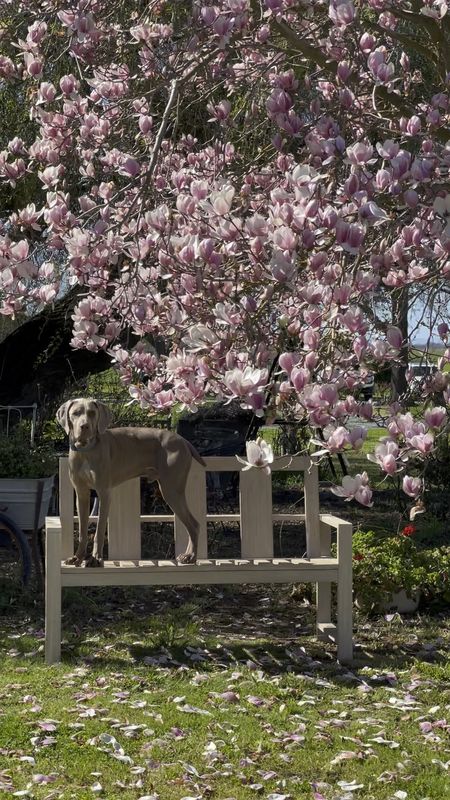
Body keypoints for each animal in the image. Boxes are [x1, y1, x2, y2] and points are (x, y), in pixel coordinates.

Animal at [56, 396, 206, 564]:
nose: (85, 426)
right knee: (192, 524)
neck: (86, 451)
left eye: (92, 413)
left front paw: (96, 558)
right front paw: (78, 557)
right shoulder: (81, 493)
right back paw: (189, 555)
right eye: (76, 413)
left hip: (171, 489)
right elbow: (82, 530)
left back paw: (190, 556)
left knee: (194, 524)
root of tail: (183, 440)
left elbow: (99, 530)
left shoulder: (104, 493)